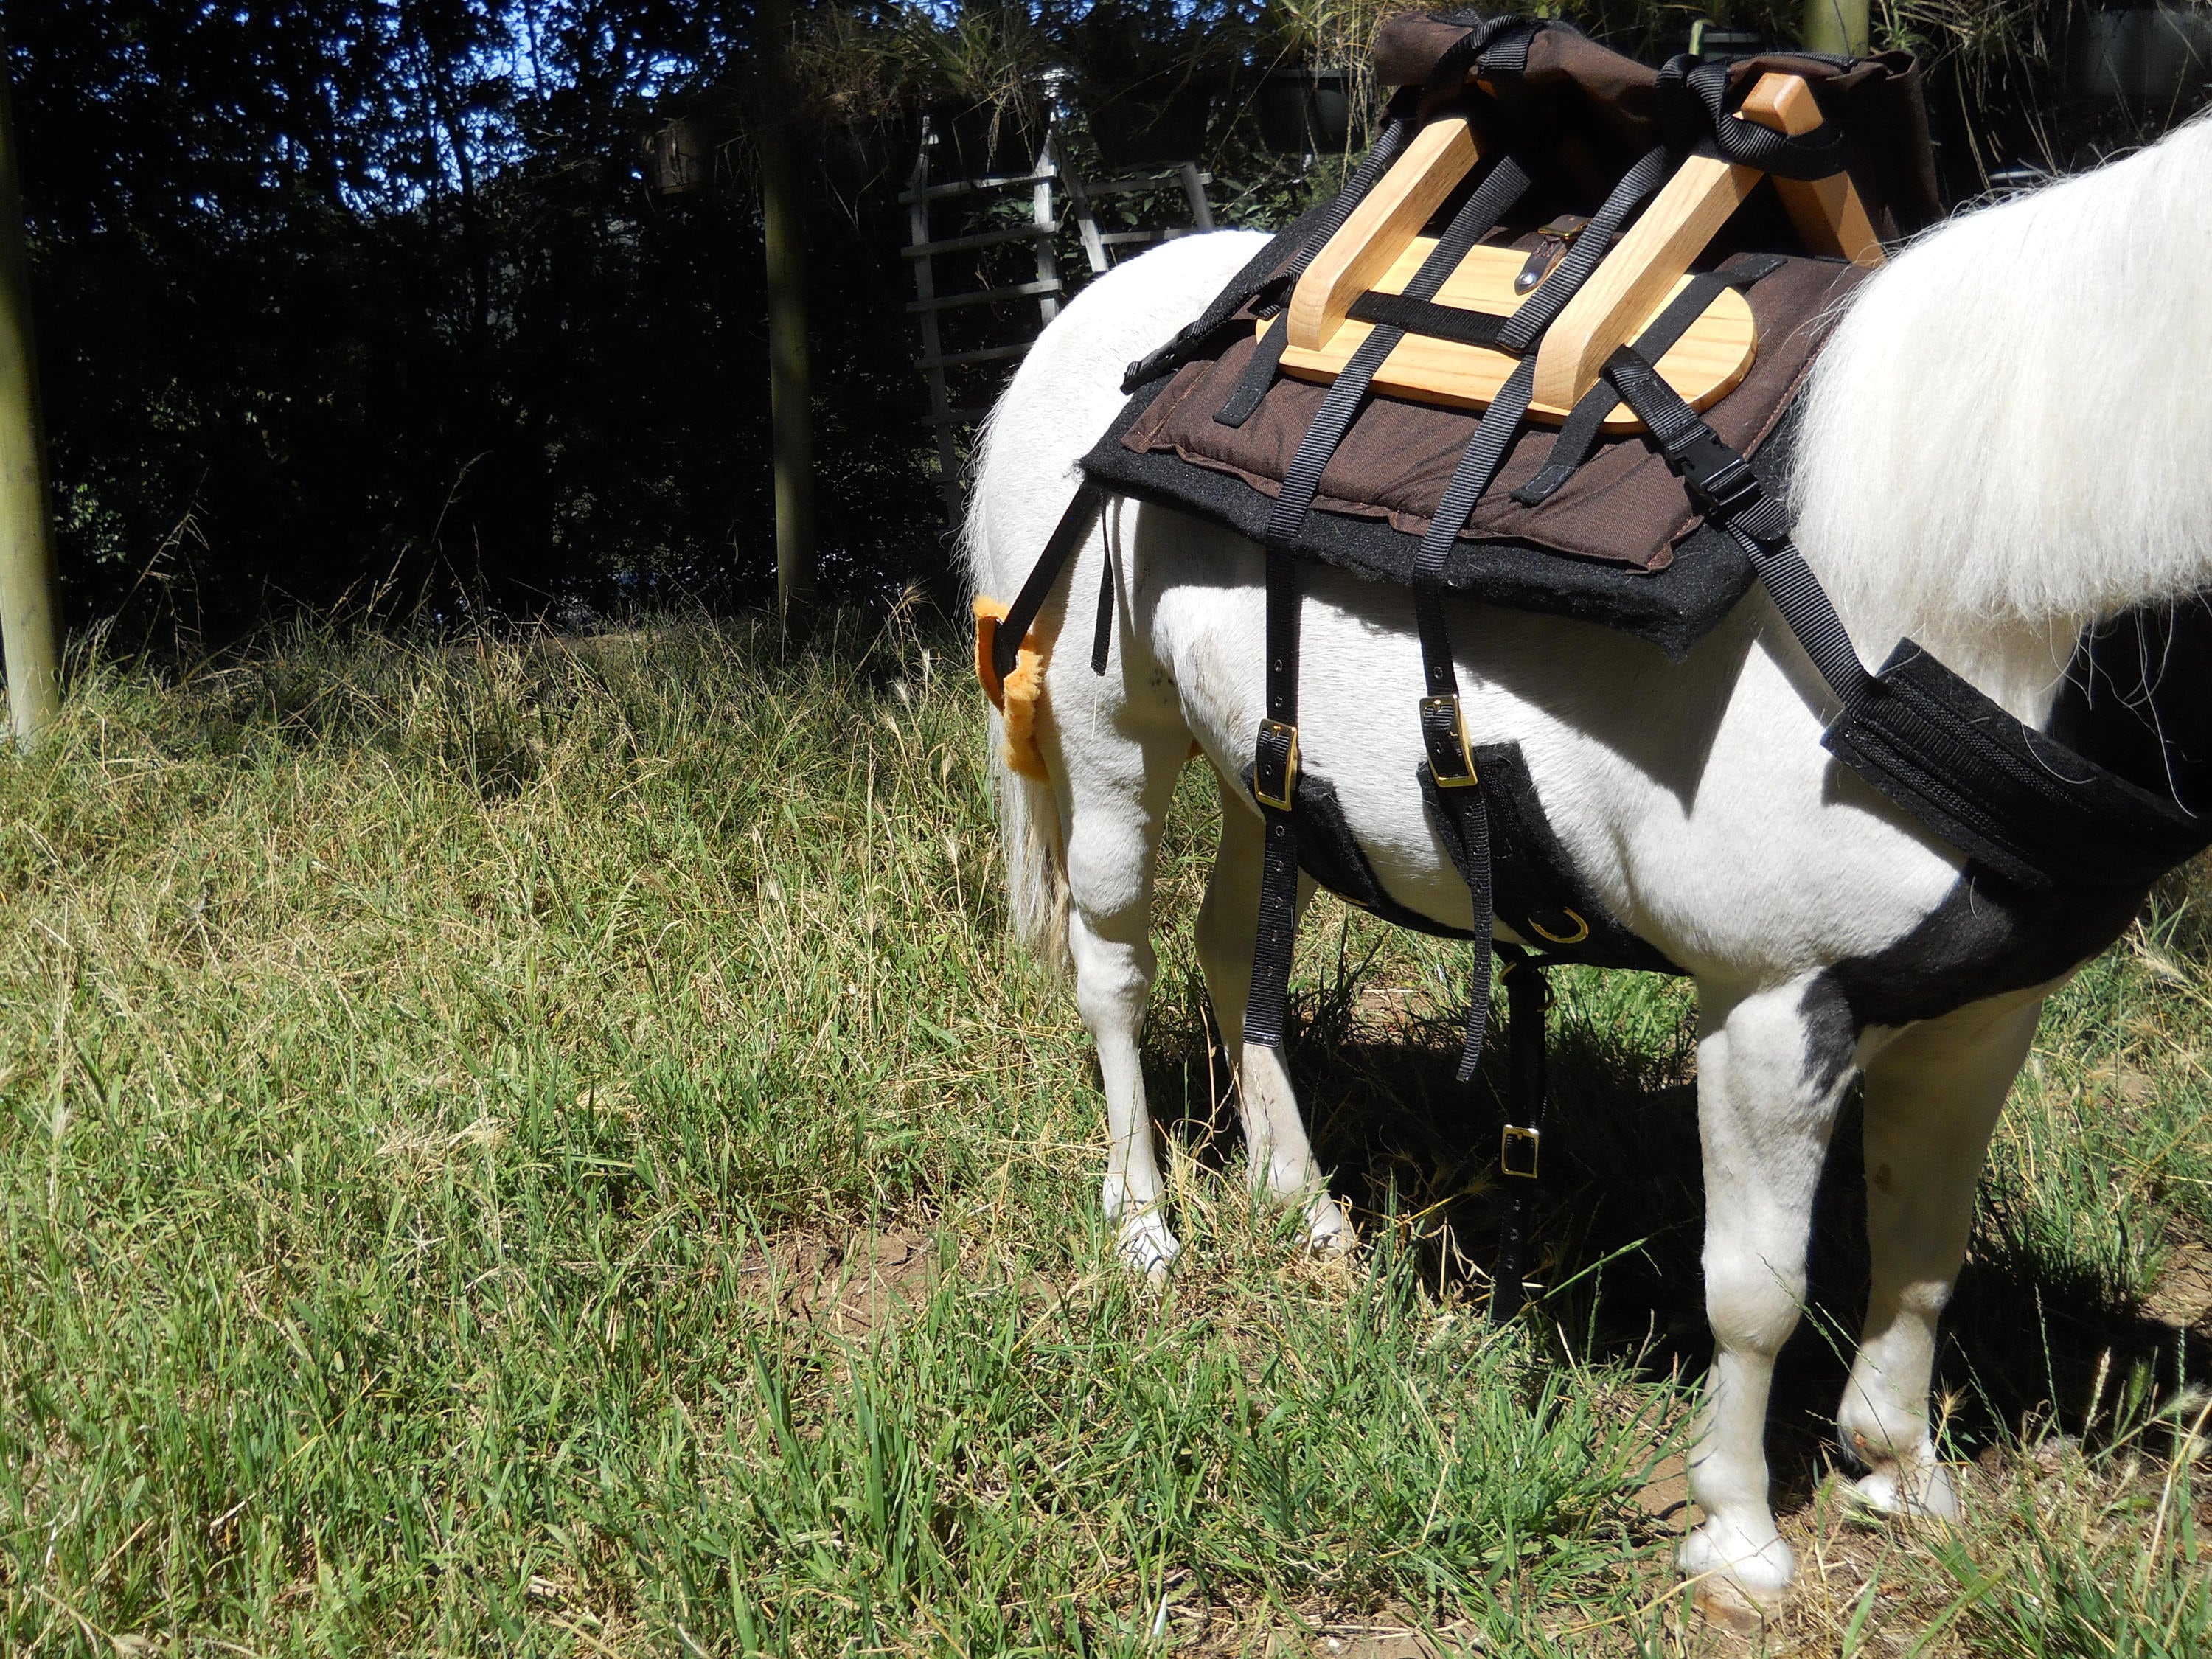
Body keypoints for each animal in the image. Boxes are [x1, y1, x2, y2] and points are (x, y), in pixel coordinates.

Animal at [961, 112, 2212, 1616]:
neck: (1950, 574)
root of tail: (1089, 317)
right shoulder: (1771, 1006)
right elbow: (1755, 1286)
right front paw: (1739, 1540)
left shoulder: (1982, 1010)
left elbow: (1922, 1247)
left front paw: (1899, 1471)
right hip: (1112, 741)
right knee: (1115, 972)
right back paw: (1145, 1226)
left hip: (1266, 763)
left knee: (1229, 948)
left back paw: (1304, 1209)